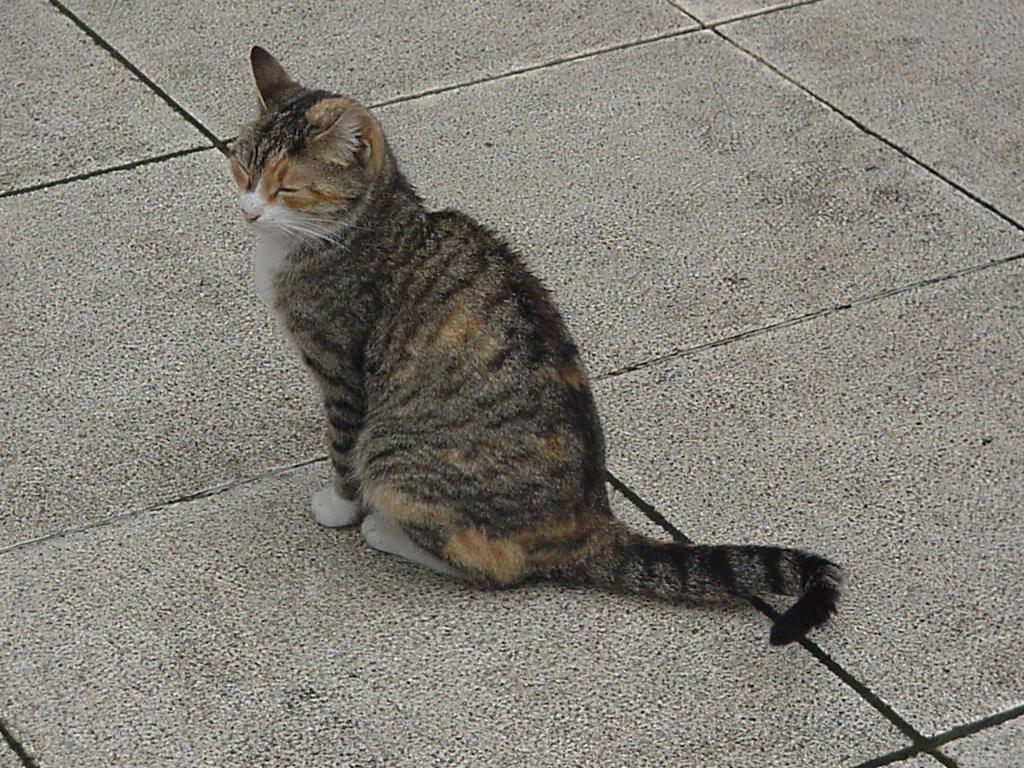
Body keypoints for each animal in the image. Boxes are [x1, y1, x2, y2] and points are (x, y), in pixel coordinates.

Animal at [229, 46, 842, 646]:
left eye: (286, 187)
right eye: (241, 168)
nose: (248, 210)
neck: (357, 227)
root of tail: (590, 519)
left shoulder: (339, 366)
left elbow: (341, 447)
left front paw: (339, 506)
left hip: (393, 458)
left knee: (501, 568)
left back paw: (385, 530)